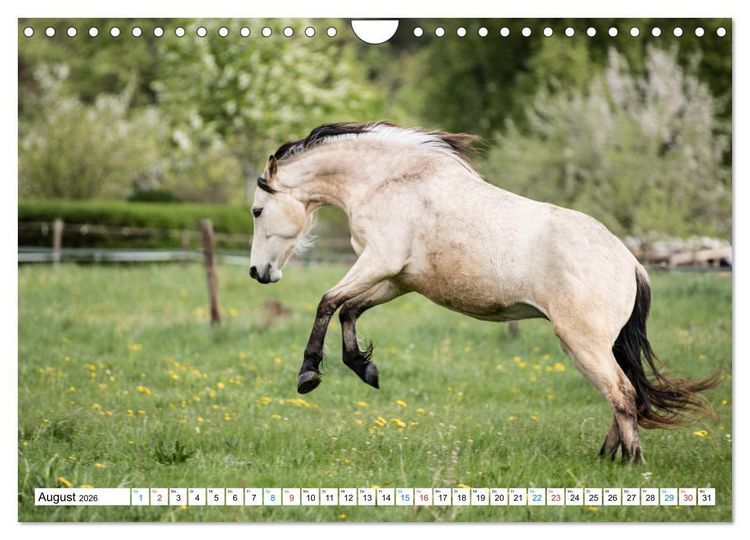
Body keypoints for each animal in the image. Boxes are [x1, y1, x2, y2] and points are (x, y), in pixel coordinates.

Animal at [248, 121, 718, 463]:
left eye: (256, 210)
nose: (257, 272)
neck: (390, 180)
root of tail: (631, 264)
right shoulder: (396, 279)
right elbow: (349, 310)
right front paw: (365, 368)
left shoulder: (378, 262)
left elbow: (328, 301)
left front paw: (309, 374)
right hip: (590, 345)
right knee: (622, 395)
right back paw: (605, 459)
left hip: (583, 342)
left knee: (622, 394)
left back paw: (632, 464)